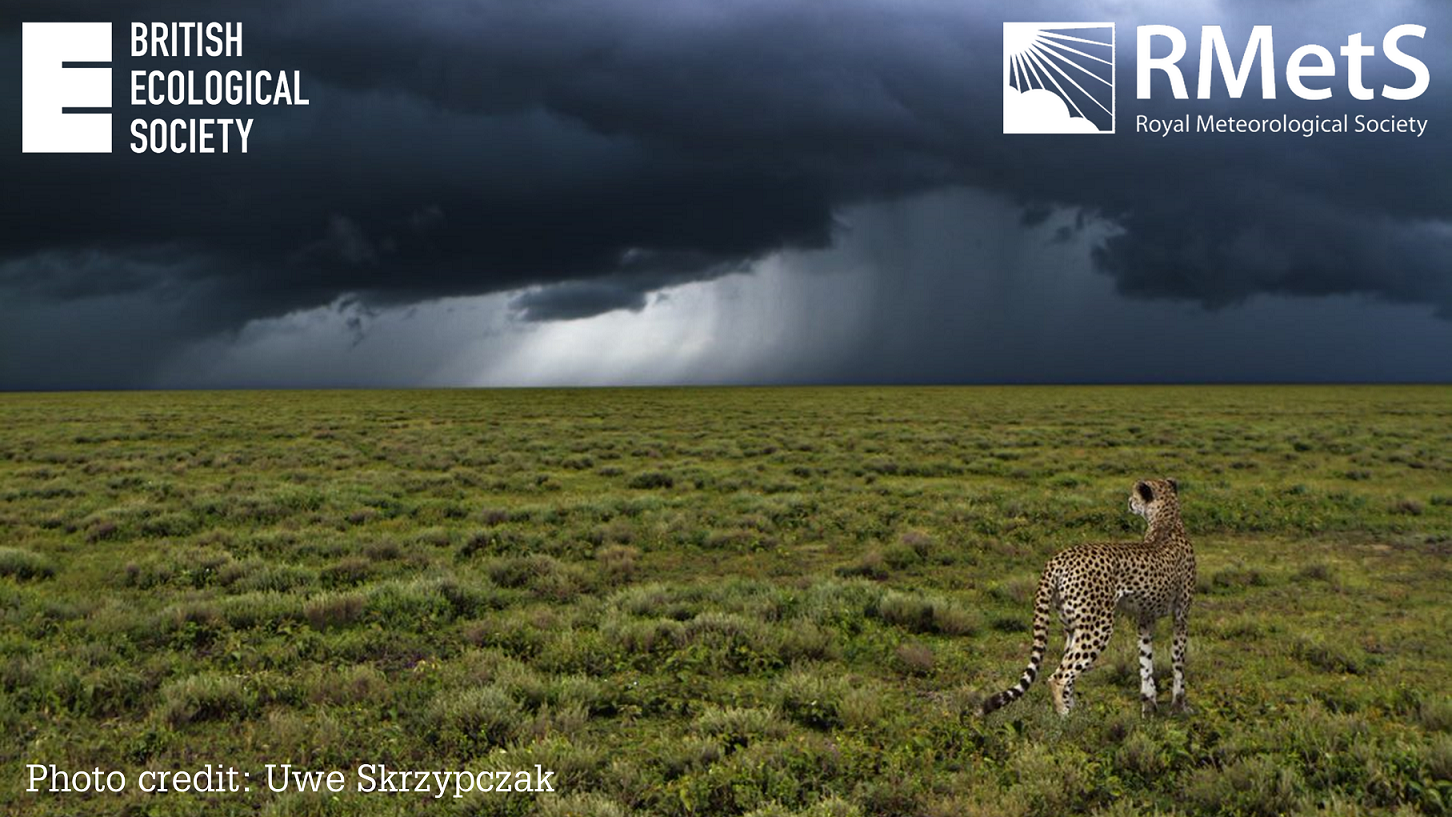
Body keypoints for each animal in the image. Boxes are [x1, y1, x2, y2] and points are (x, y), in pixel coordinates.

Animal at [981, 478, 1196, 716]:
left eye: (1134, 495)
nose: (1129, 502)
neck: (1166, 520)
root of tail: (1059, 557)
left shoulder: (1146, 619)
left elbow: (1146, 662)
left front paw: (1149, 707)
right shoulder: (1180, 615)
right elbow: (1178, 661)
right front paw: (1180, 706)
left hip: (1073, 626)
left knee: (1067, 670)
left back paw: (1074, 712)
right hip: (1098, 626)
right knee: (1058, 677)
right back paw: (1064, 716)